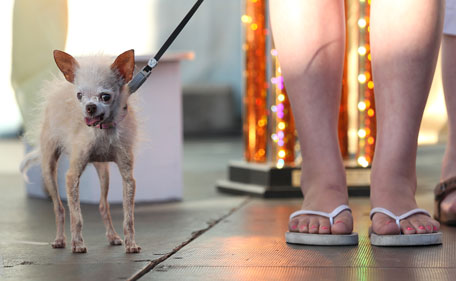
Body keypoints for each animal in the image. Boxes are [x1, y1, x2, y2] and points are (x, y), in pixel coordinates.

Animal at [20, 49, 141, 253]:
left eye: (105, 96)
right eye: (79, 95)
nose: (89, 107)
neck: (102, 130)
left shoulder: (127, 176)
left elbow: (129, 218)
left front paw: (131, 243)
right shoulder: (72, 176)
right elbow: (76, 216)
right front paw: (77, 243)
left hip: (103, 172)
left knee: (103, 206)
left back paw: (112, 236)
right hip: (49, 168)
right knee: (59, 209)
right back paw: (60, 239)